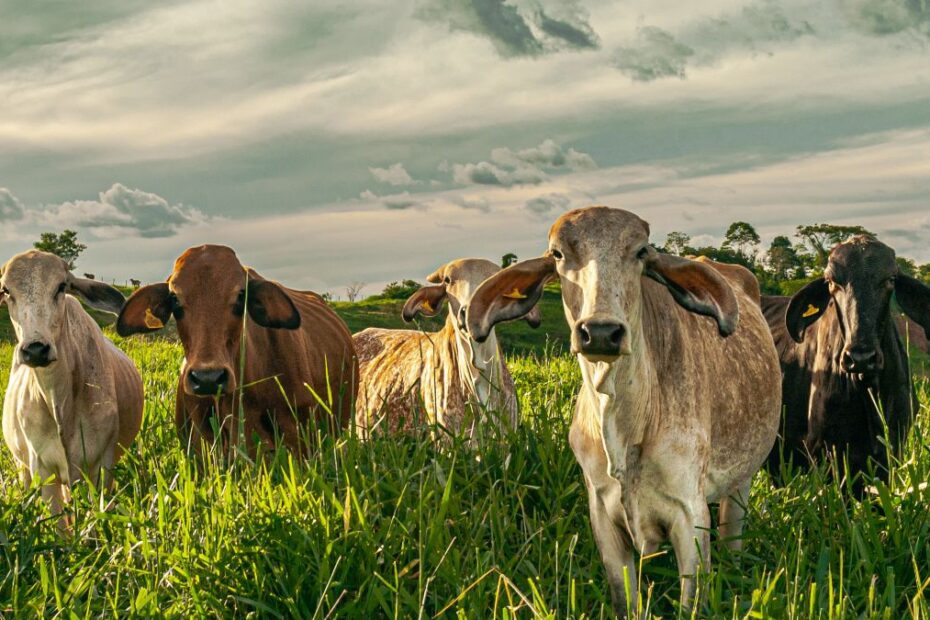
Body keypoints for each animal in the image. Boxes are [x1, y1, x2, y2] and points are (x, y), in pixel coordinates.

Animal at [468, 208, 780, 616]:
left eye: (641, 252)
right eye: (557, 254)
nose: (601, 332)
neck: (625, 428)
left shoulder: (690, 516)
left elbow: (691, 602)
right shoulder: (603, 517)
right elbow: (625, 600)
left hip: (741, 483)